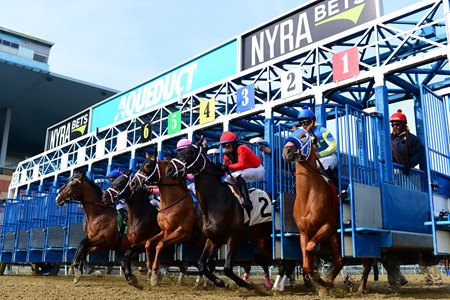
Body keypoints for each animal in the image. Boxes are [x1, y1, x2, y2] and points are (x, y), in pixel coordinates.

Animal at [164, 138, 270, 288]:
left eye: (190, 152)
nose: (169, 169)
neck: (216, 201)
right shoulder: (213, 239)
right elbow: (202, 264)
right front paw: (219, 281)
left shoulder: (233, 237)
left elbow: (227, 268)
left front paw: (246, 285)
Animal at [282, 127, 372, 292]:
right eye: (291, 134)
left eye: (303, 136)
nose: (287, 151)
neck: (308, 196)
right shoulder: (304, 232)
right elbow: (306, 263)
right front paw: (322, 282)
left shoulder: (328, 226)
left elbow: (310, 248)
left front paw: (322, 282)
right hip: (334, 238)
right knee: (340, 260)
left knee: (366, 263)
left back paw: (360, 288)